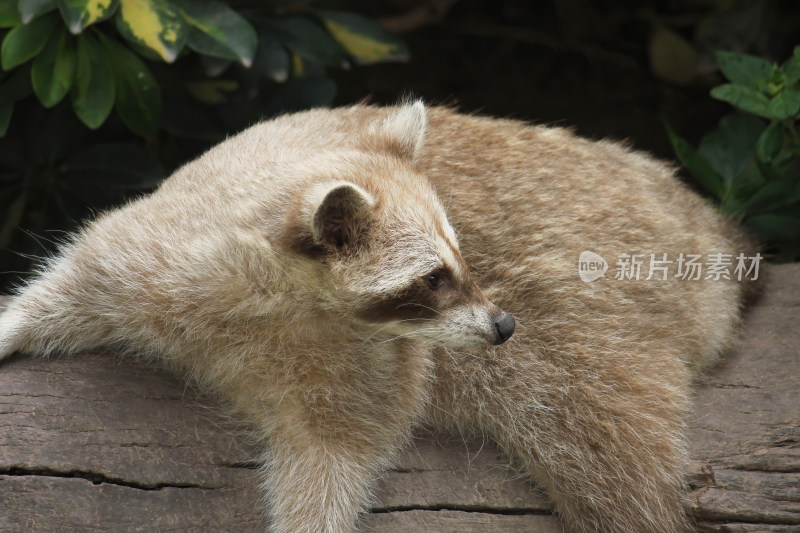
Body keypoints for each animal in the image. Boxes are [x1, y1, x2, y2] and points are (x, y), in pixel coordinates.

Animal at [0, 101, 752, 532]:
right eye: (434, 279)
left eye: (463, 259)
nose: (504, 326)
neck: (290, 302)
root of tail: (701, 221)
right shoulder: (159, 254)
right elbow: (75, 279)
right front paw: (12, 324)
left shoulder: (371, 373)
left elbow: (335, 462)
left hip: (596, 322)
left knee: (614, 469)